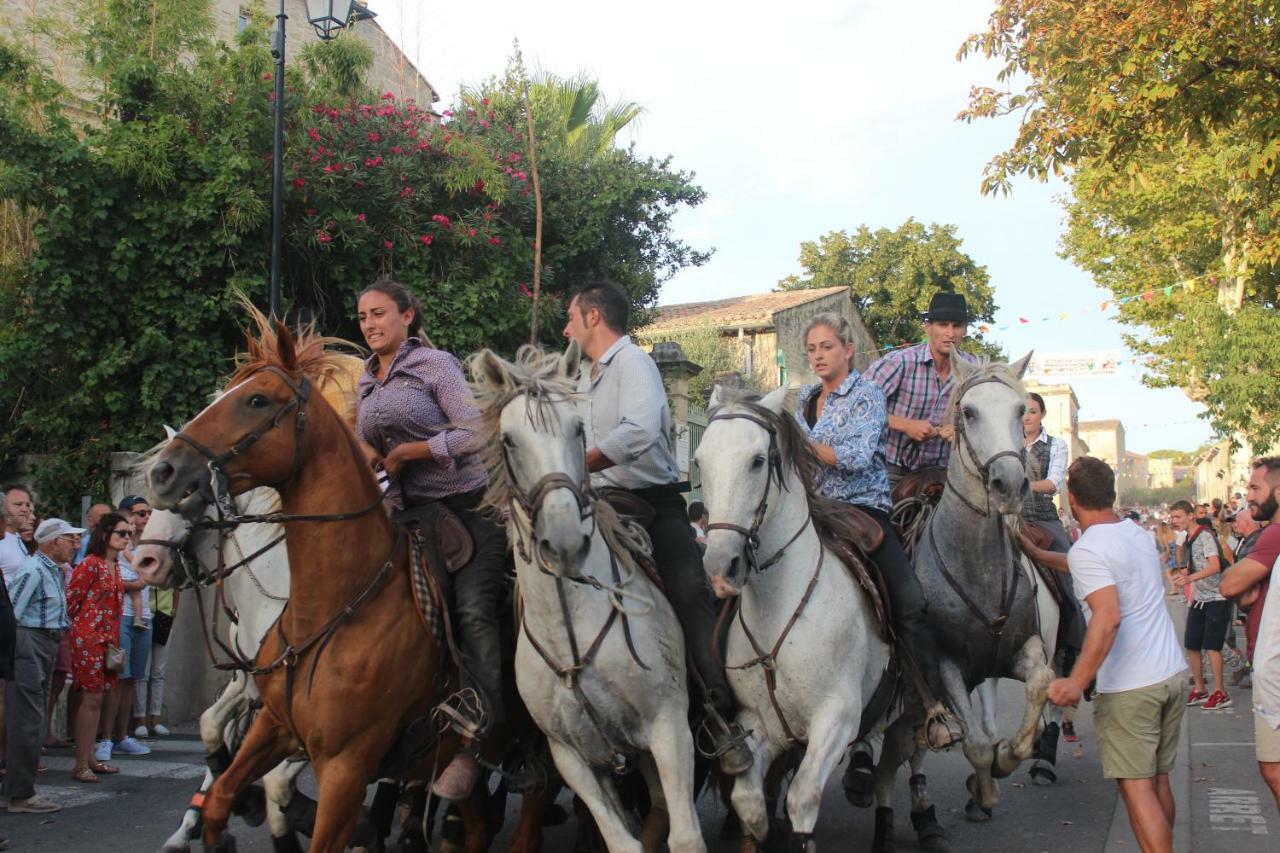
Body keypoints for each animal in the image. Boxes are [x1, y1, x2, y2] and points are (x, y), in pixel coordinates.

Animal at [147, 313, 527, 850]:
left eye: (257, 400)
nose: (162, 473)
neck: (335, 604)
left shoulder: (345, 763)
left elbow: (284, 790)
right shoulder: (269, 712)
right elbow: (218, 759)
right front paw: (215, 821)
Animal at [471, 343, 706, 850]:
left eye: (578, 428)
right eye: (508, 441)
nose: (564, 542)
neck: (571, 633)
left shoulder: (669, 731)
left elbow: (685, 837)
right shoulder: (572, 757)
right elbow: (622, 840)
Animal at [696, 384, 896, 850]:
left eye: (757, 460)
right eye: (700, 460)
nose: (720, 569)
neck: (782, 608)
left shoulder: (837, 716)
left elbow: (803, 797)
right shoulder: (756, 723)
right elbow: (749, 801)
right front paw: (759, 833)